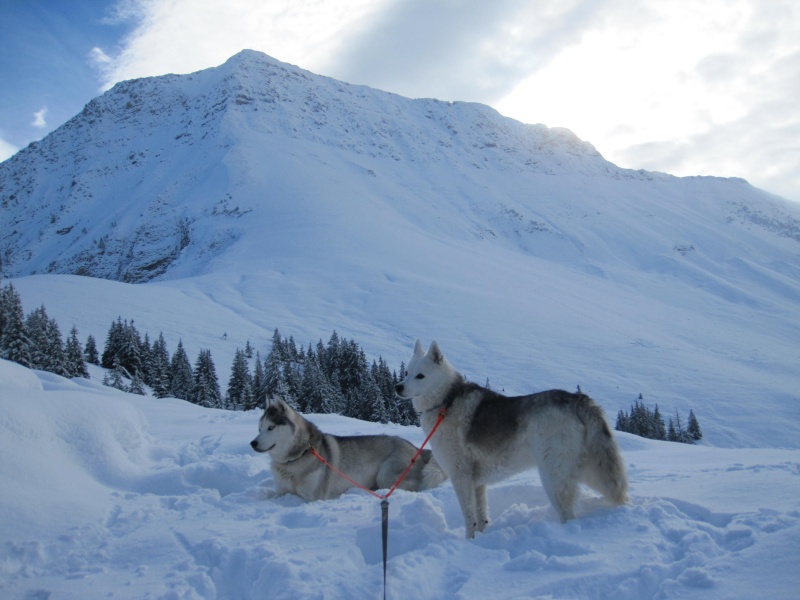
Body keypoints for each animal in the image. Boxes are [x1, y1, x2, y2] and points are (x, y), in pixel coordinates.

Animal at [250, 396, 446, 500]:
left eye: (271, 428)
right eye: (259, 428)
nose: (253, 443)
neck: (297, 456)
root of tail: (416, 448)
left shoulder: (313, 498)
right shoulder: (282, 492)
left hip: (386, 475)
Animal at [396, 338, 628, 540]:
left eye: (420, 376)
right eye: (406, 373)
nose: (398, 387)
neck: (446, 400)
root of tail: (575, 399)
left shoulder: (461, 477)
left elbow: (469, 516)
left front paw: (469, 541)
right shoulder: (477, 482)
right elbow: (480, 515)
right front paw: (480, 538)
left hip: (553, 476)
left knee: (568, 513)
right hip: (588, 468)